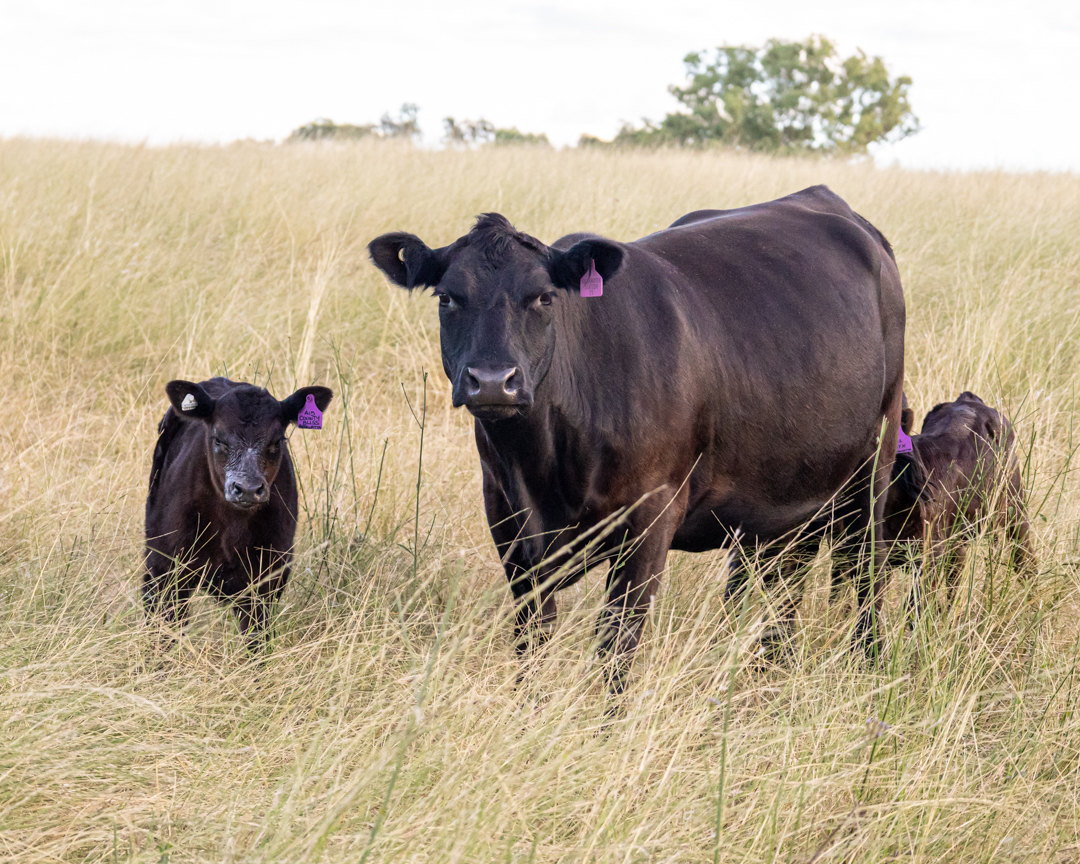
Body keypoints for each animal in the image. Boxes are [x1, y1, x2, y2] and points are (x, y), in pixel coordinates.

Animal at [144, 377, 333, 649]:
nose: (247, 489)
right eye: (218, 439)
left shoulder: (267, 577)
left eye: (277, 441)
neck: (230, 527)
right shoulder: (167, 567)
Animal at [369, 185, 905, 691]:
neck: (542, 466)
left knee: (866, 574)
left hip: (874, 465)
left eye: (543, 297)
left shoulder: (652, 517)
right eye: (447, 297)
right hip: (786, 496)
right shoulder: (507, 522)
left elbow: (616, 652)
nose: (494, 381)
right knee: (783, 584)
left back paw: (871, 668)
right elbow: (531, 645)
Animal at [884, 391, 1034, 616]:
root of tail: (968, 399)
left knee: (1025, 560)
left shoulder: (929, 561)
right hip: (958, 541)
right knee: (955, 580)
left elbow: (913, 610)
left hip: (1014, 512)